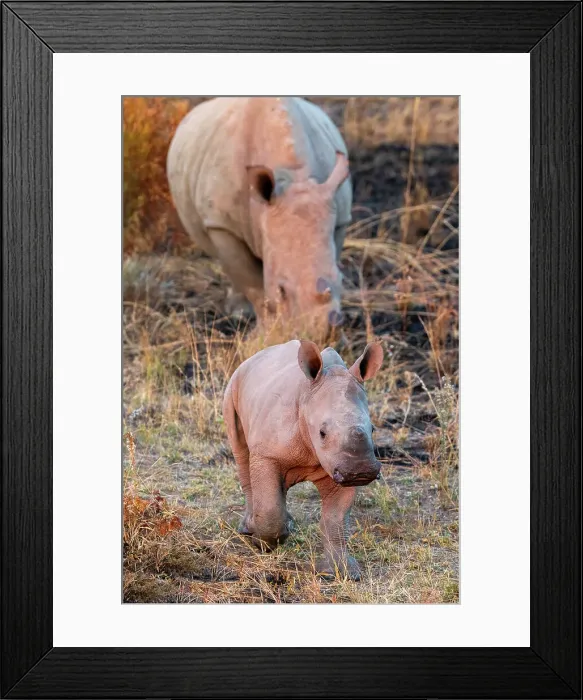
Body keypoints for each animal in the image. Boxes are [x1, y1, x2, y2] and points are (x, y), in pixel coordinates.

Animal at [167, 97, 352, 339]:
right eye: (281, 290)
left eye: (341, 280)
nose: (320, 336)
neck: (294, 175)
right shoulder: (222, 224)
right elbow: (253, 284)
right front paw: (263, 335)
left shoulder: (339, 217)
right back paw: (239, 313)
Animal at [223, 339, 384, 580]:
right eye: (322, 433)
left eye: (373, 429)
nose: (362, 471)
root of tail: (255, 356)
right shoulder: (267, 454)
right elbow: (269, 509)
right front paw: (264, 544)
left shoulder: (341, 464)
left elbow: (335, 519)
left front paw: (342, 572)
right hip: (234, 383)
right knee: (242, 453)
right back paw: (249, 529)